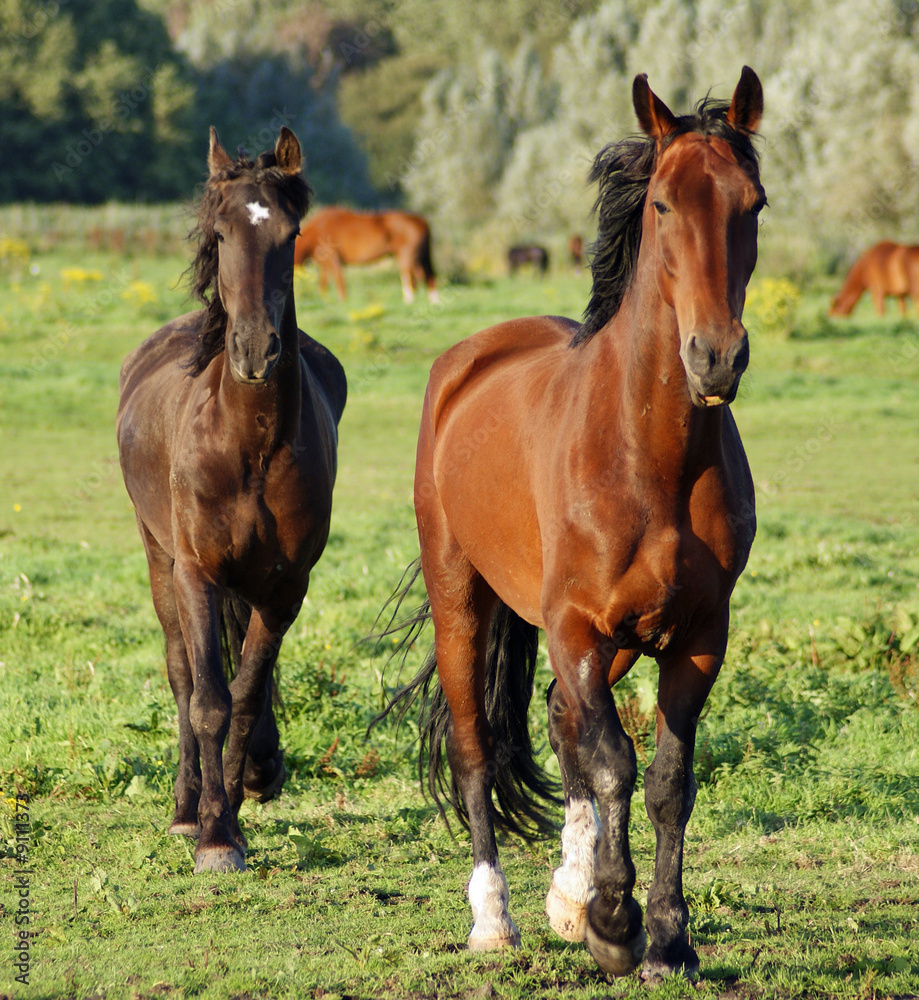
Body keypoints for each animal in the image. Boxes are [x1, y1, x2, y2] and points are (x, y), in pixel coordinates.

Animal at [115, 129, 344, 872]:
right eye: (221, 233)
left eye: (290, 233)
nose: (254, 351)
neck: (248, 445)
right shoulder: (196, 572)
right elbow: (207, 698)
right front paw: (214, 832)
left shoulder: (285, 586)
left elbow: (244, 693)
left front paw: (240, 805)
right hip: (158, 558)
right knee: (182, 675)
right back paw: (188, 808)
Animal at [294, 207, 438, 304]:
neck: (318, 229)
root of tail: (421, 221)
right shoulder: (324, 265)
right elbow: (323, 285)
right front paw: (325, 301)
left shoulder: (333, 261)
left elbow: (339, 281)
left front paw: (343, 301)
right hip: (422, 258)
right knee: (429, 276)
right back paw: (434, 301)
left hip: (406, 257)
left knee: (411, 279)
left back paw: (409, 301)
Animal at [378, 66, 764, 980]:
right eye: (661, 204)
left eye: (755, 202)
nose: (715, 358)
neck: (647, 456)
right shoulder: (575, 624)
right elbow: (614, 763)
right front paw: (616, 927)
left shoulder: (699, 634)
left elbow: (665, 780)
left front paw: (664, 937)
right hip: (464, 599)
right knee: (478, 746)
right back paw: (495, 919)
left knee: (559, 718)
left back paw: (566, 892)